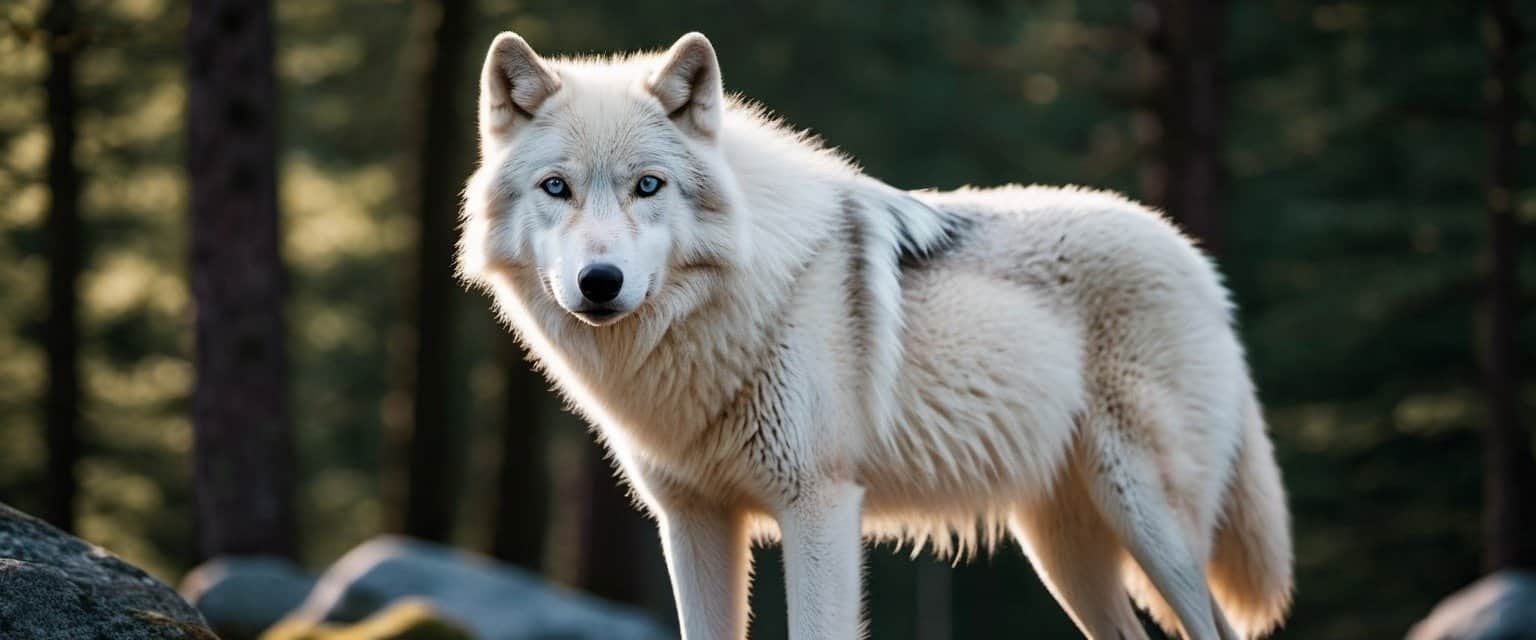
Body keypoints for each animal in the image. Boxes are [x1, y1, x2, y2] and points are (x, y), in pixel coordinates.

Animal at [457, 32, 1296, 638]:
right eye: (557, 188)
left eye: (647, 186)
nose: (600, 282)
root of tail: (1197, 262)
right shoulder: (694, 519)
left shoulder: (820, 506)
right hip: (1066, 552)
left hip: (1152, 527)